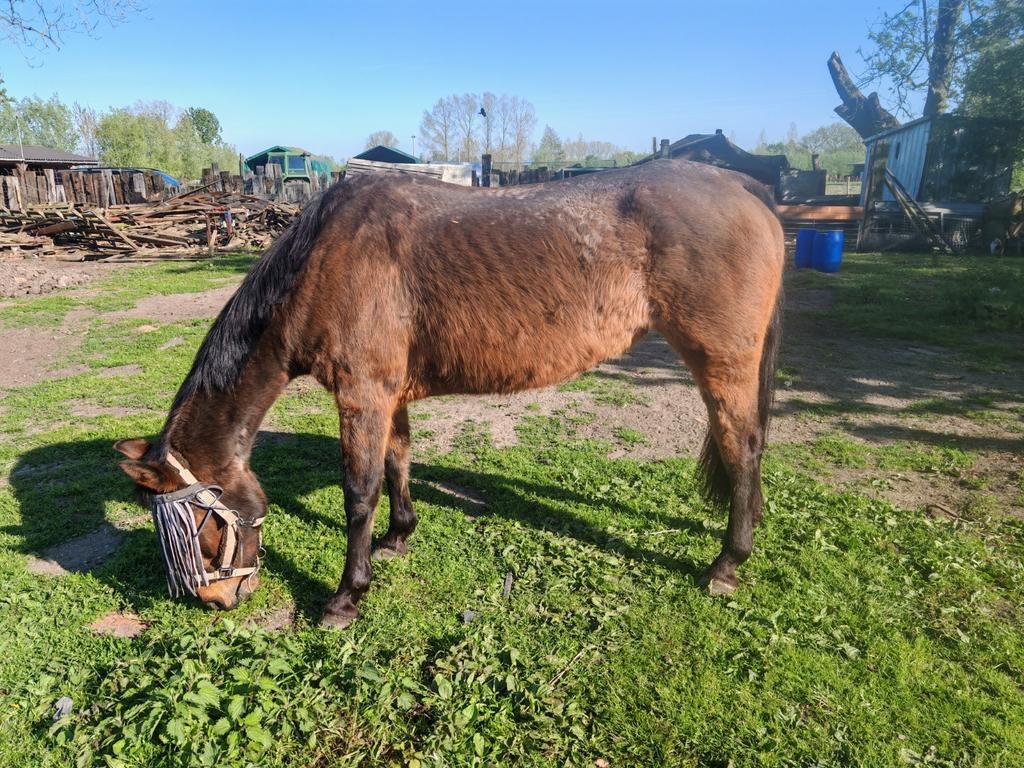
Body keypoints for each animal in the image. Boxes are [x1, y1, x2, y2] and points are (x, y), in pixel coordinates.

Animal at [115, 158, 784, 629]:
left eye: (192, 526)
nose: (219, 598)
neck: (325, 258)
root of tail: (743, 186)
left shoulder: (362, 394)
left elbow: (359, 492)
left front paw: (346, 597)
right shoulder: (389, 395)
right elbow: (398, 462)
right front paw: (398, 536)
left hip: (722, 364)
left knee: (744, 449)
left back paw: (727, 563)